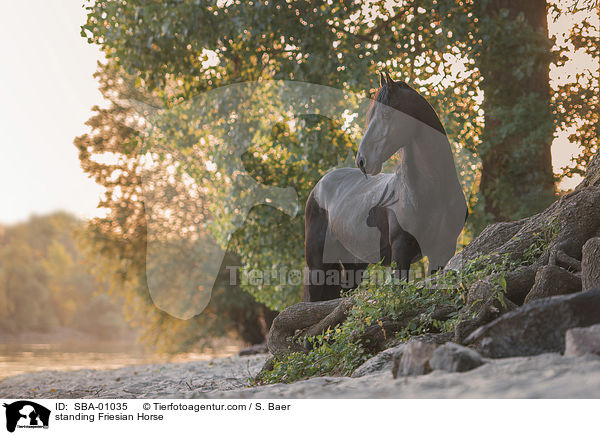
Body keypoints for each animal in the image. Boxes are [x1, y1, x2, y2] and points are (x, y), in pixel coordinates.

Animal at [304, 72, 468, 304]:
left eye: (387, 114)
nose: (362, 160)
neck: (433, 192)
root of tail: (318, 188)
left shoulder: (443, 249)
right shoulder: (401, 251)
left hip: (355, 263)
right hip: (317, 265)